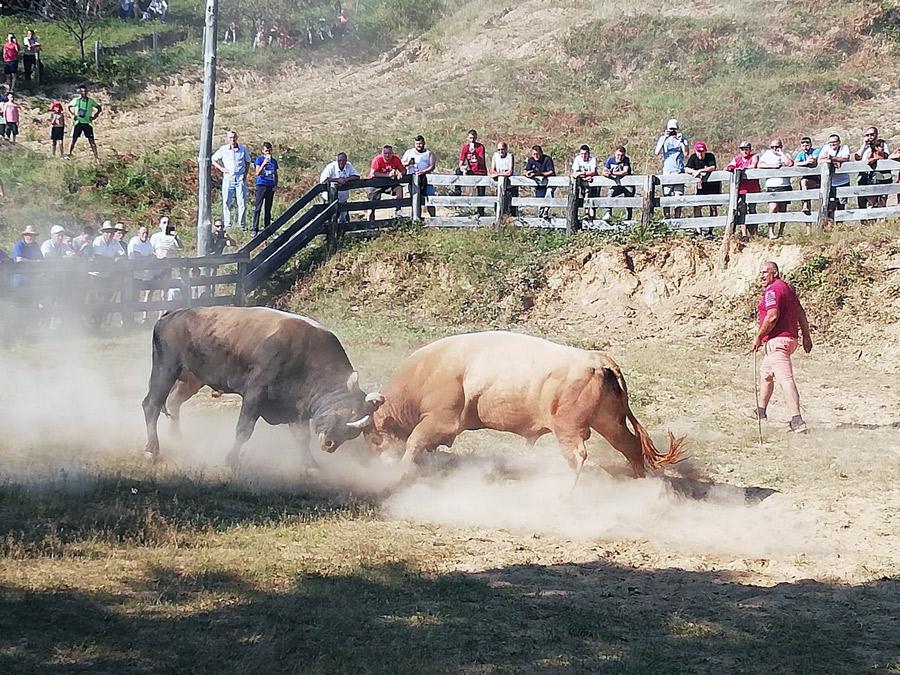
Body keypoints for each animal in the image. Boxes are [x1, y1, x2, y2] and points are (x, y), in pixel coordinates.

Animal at [362, 332, 684, 480]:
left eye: (375, 437)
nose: (377, 460)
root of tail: (597, 359)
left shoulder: (441, 421)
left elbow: (414, 442)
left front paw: (400, 472)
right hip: (609, 422)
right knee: (629, 445)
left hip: (568, 429)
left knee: (578, 456)